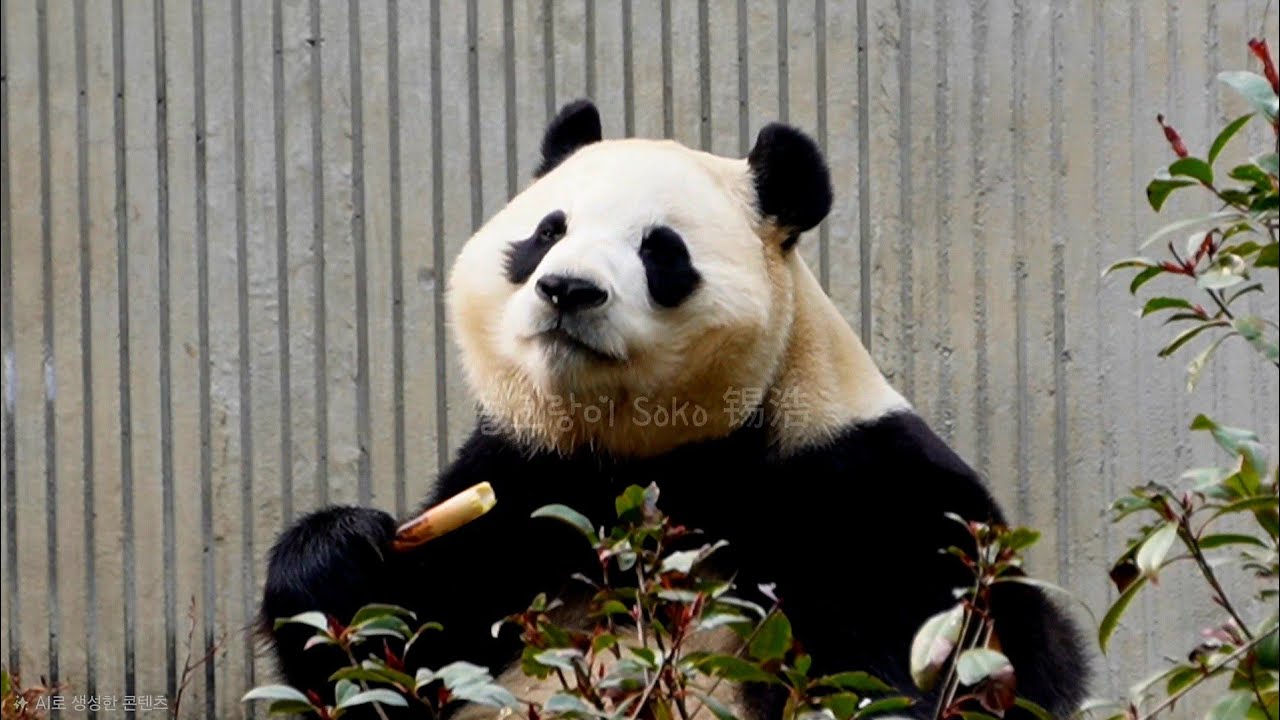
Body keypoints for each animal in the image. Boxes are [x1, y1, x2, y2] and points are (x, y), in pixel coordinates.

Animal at [261, 99, 1088, 719]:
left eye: (660, 250)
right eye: (547, 231)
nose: (567, 289)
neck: (659, 458)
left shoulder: (859, 475)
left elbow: (992, 648)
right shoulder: (527, 482)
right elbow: (398, 657)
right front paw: (340, 556)